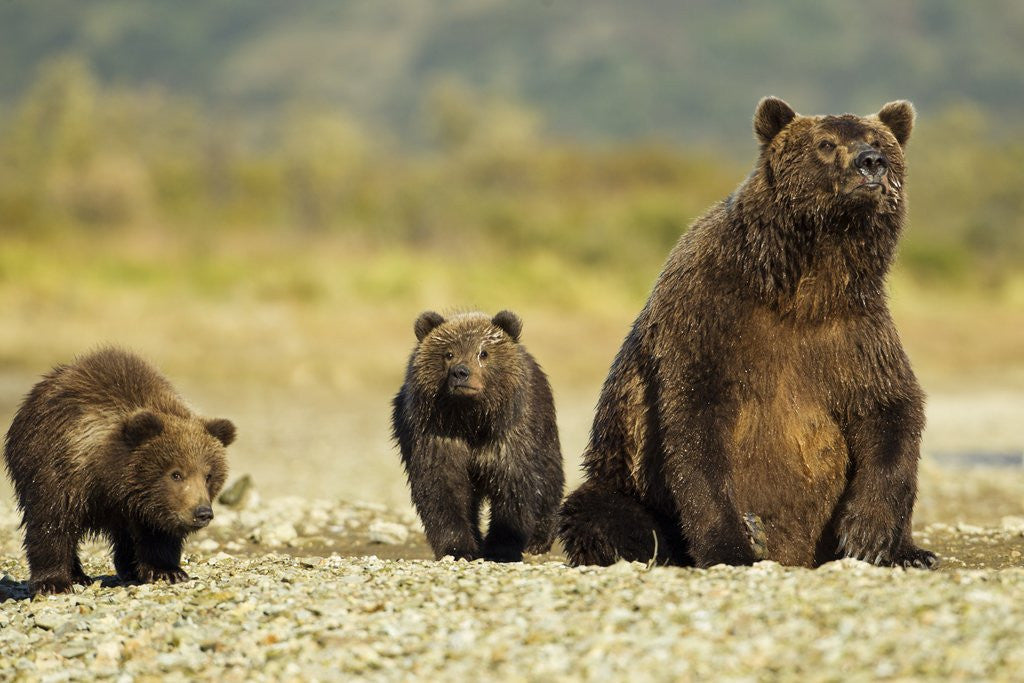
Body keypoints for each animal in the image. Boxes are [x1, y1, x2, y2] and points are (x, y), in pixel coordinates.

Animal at [3, 347, 235, 594]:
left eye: (208, 475)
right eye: (176, 473)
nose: (202, 512)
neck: (107, 476)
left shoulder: (153, 506)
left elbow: (158, 534)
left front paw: (167, 571)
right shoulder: (60, 472)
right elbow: (51, 523)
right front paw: (53, 582)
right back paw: (79, 575)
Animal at [392, 310, 564, 562]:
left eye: (483, 352)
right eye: (448, 353)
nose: (461, 372)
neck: (471, 421)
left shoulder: (508, 437)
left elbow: (513, 487)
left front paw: (502, 547)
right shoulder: (436, 436)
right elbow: (442, 489)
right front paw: (458, 548)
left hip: (543, 426)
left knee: (550, 477)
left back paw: (539, 539)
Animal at [558, 97, 937, 570]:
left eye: (878, 141)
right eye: (826, 143)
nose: (871, 163)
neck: (803, 285)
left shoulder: (854, 331)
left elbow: (889, 407)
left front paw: (869, 534)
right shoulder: (707, 315)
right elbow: (695, 427)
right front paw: (733, 544)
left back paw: (913, 552)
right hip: (622, 479)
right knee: (601, 514)